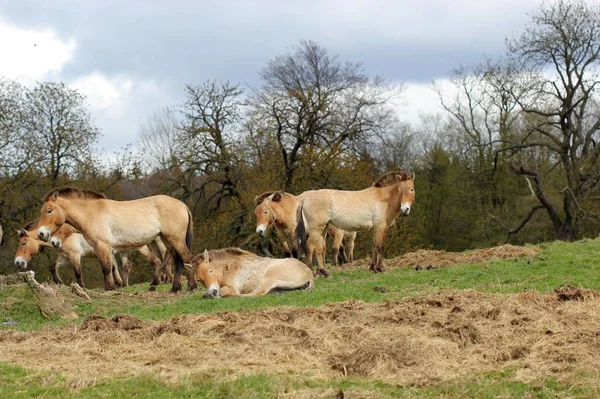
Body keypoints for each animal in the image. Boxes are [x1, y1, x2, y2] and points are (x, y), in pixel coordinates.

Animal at [36, 189, 195, 292]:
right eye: (42, 211)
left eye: (49, 211)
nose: (41, 234)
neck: (91, 213)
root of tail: (183, 205)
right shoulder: (98, 248)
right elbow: (107, 267)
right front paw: (111, 286)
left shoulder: (103, 246)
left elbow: (107, 268)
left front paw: (110, 288)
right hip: (166, 238)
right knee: (175, 259)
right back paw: (173, 287)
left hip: (174, 239)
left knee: (186, 258)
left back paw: (191, 286)